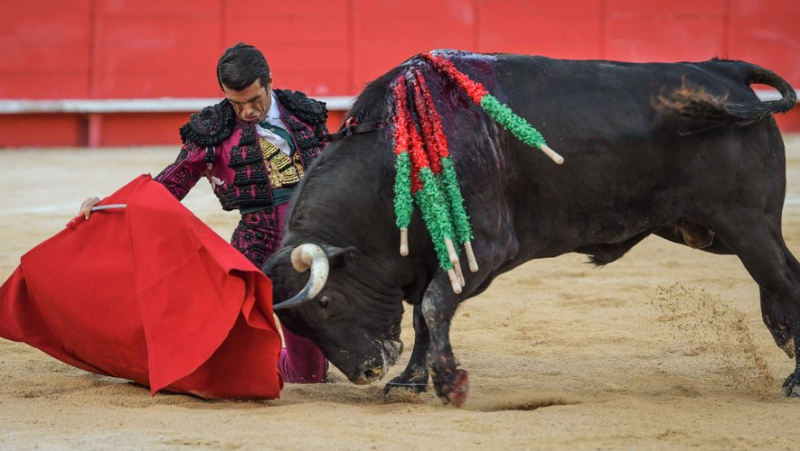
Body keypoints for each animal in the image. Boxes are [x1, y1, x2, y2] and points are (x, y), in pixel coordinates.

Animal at [264, 51, 800, 408]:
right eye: (298, 324)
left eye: (326, 302)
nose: (366, 371)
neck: (393, 161)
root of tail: (724, 70)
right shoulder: (437, 253)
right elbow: (423, 318)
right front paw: (411, 382)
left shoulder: (485, 246)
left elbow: (434, 306)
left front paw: (450, 384)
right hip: (710, 231)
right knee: (783, 280)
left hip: (746, 222)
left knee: (783, 284)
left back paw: (794, 380)